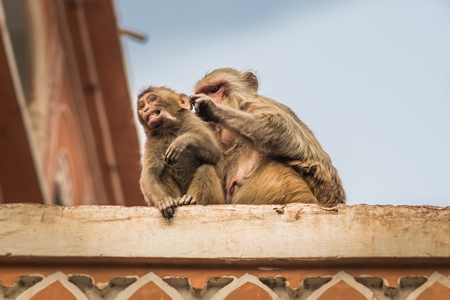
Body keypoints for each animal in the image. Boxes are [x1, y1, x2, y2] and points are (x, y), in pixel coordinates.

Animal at [135, 86, 223, 218]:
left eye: (152, 99)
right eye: (141, 106)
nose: (145, 109)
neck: (169, 129)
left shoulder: (190, 120)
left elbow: (214, 152)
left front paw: (183, 141)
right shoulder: (153, 141)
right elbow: (150, 175)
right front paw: (163, 200)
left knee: (206, 168)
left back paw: (190, 200)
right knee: (163, 173)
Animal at [190, 68, 344, 206]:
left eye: (214, 89)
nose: (212, 100)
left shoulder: (258, 104)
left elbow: (283, 130)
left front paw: (212, 109)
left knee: (275, 165)